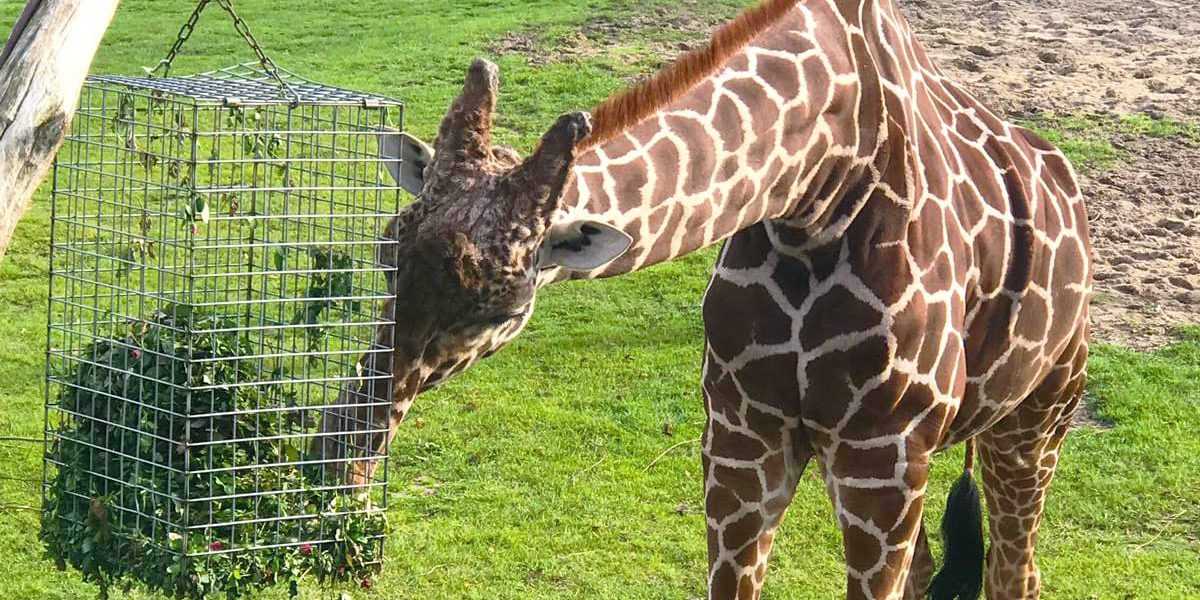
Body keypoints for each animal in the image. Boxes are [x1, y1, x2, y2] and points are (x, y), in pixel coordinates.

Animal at [319, 0, 1093, 597]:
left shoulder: (884, 450)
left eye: (504, 310)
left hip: (1033, 421)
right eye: (386, 251)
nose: (341, 454)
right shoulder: (742, 435)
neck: (816, 189)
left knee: (1015, 570)